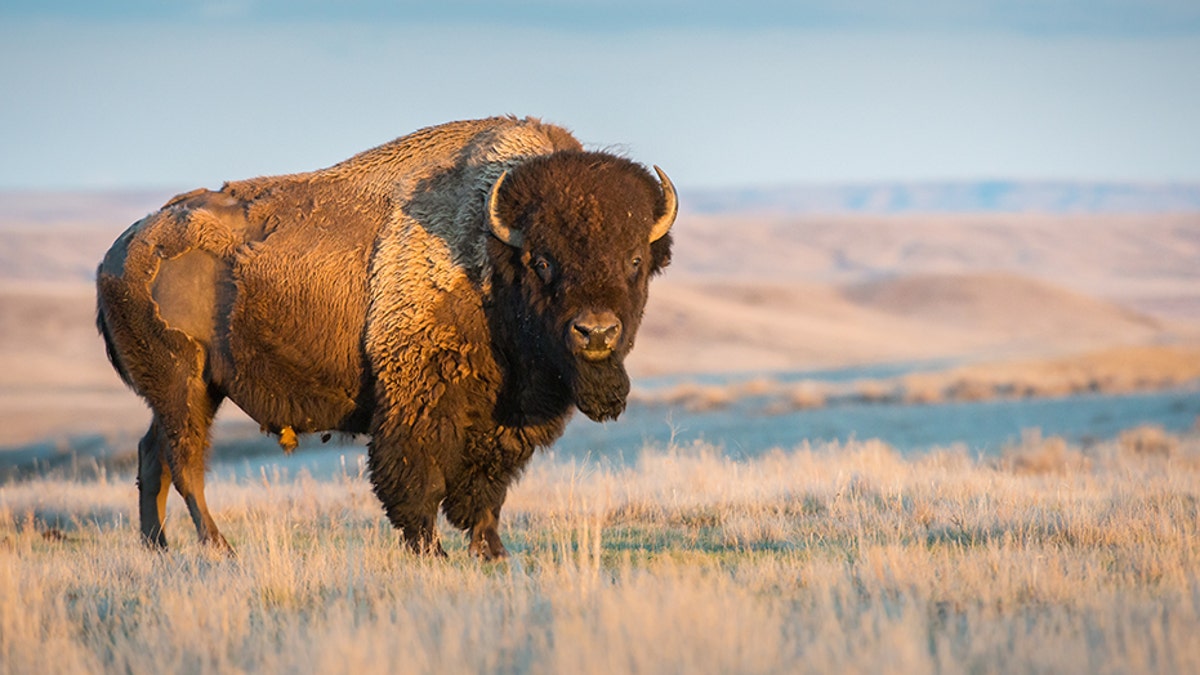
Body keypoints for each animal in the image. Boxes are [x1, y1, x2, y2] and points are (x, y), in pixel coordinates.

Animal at [96, 117, 676, 557]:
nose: (596, 332)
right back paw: (219, 548)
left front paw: (491, 551)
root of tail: (119, 252)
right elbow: (418, 478)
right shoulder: (418, 398)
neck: (490, 253)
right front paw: (432, 552)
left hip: (188, 391)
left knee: (152, 455)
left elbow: (487, 487)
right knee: (184, 461)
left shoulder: (504, 419)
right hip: (184, 384)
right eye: (542, 261)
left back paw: (158, 547)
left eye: (635, 260)